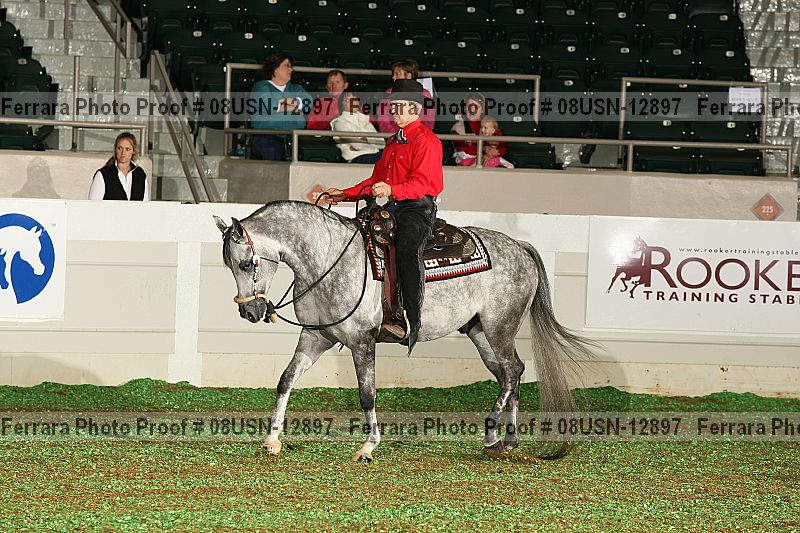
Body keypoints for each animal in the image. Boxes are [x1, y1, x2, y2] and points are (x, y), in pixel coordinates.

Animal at [214, 201, 595, 462]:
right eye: (228, 265)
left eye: (246, 263)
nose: (249, 311)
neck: (327, 261)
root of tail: (520, 248)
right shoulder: (315, 336)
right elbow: (285, 381)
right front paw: (272, 440)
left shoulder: (362, 340)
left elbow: (367, 395)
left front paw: (368, 447)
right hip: (479, 332)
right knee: (510, 372)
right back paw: (509, 440)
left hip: (500, 326)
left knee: (512, 372)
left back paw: (491, 436)